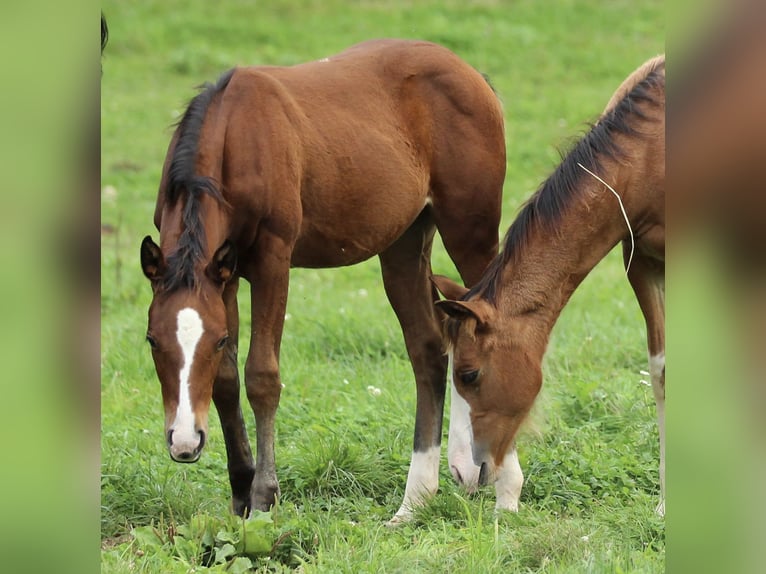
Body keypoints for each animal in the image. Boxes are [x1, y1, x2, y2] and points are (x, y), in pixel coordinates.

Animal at [139, 39, 506, 523]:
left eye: (212, 341)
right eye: (152, 340)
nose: (184, 442)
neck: (235, 135)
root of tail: (473, 75)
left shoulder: (273, 261)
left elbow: (261, 376)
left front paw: (264, 497)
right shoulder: (225, 276)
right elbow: (226, 381)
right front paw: (240, 490)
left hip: (470, 231)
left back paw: (495, 478)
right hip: (404, 244)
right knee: (429, 348)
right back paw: (416, 499)